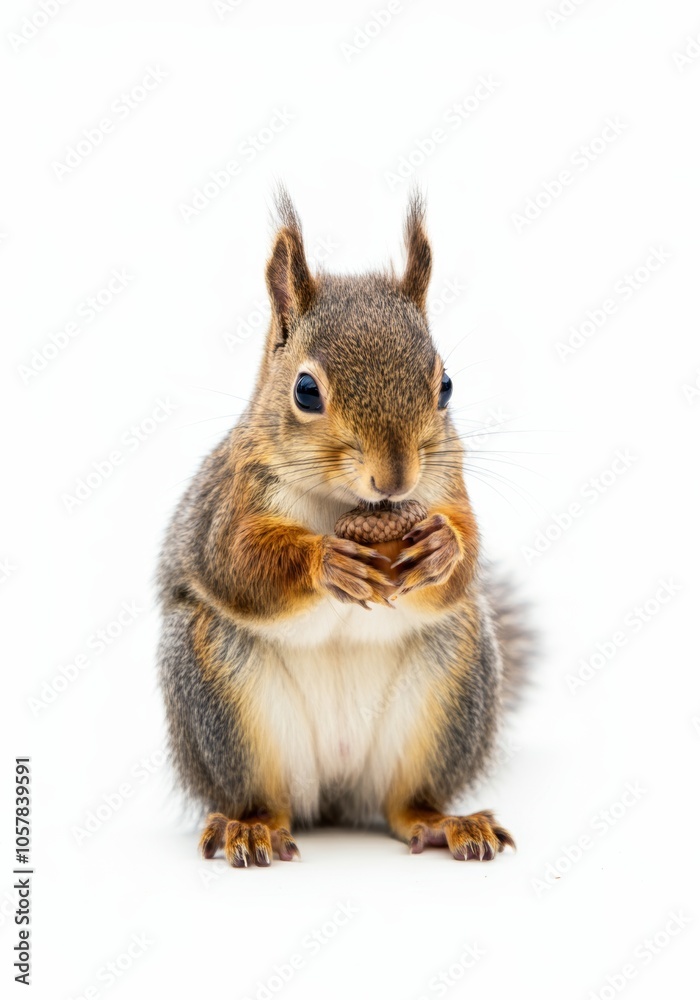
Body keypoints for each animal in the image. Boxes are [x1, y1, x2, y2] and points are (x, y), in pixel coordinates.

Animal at [158, 190, 530, 867]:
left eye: (445, 385)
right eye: (305, 390)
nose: (396, 477)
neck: (346, 503)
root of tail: (335, 787)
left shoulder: (447, 484)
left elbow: (465, 558)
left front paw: (443, 546)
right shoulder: (231, 497)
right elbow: (237, 562)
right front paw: (328, 561)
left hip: (452, 683)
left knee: (406, 803)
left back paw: (447, 823)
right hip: (219, 695)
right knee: (264, 798)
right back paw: (251, 828)